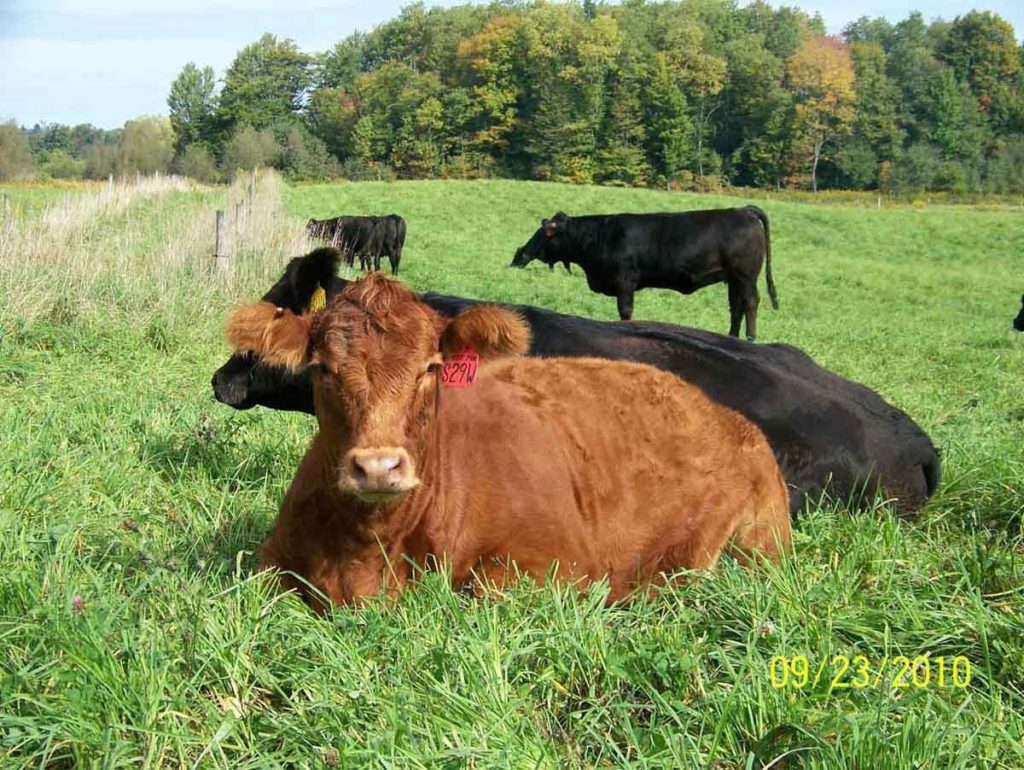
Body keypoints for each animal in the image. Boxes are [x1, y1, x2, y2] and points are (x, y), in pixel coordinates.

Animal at [226, 274, 790, 610]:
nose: (379, 467)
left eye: (430, 368)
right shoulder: (267, 565)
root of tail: (728, 416)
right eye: (322, 369)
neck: (366, 551)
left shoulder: (556, 569)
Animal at [507, 208, 778, 341]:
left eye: (545, 233)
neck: (600, 236)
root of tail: (744, 210)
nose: (520, 254)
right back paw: (732, 337)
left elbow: (625, 311)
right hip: (733, 278)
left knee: (750, 303)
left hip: (745, 275)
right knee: (736, 307)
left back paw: (750, 338)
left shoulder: (624, 281)